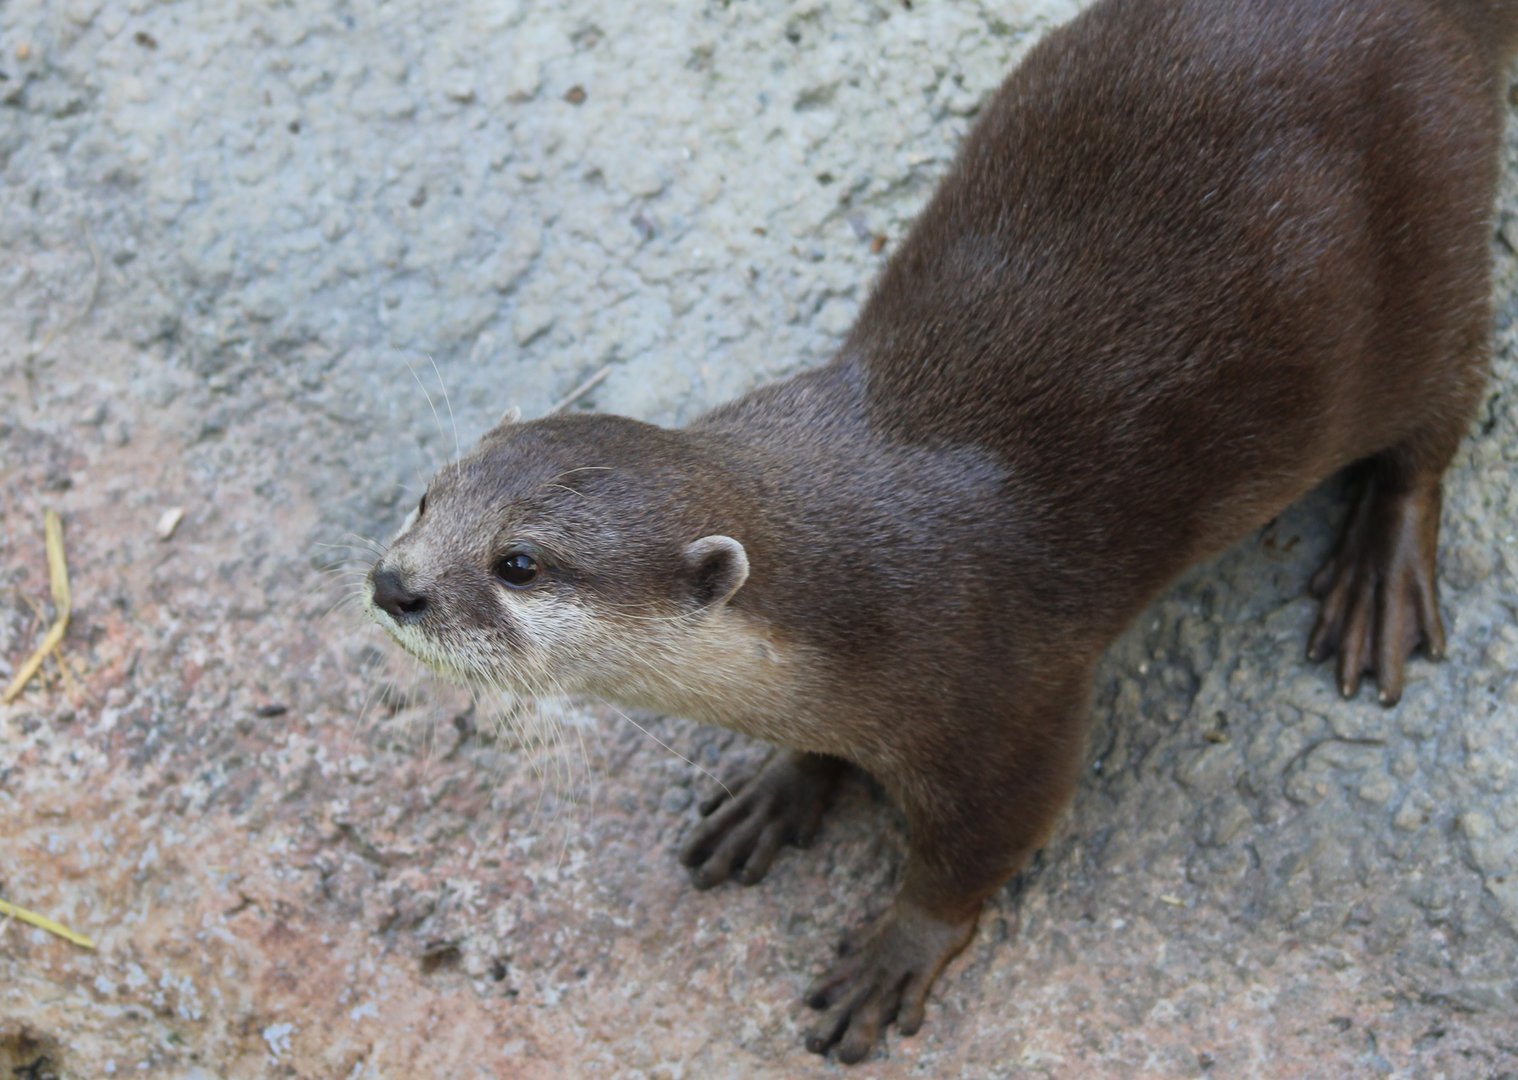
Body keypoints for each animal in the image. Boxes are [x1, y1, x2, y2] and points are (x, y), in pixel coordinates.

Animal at [366, 0, 1516, 1063]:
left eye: (518, 563)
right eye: (425, 500)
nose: (394, 584)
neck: (852, 598)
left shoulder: (1001, 692)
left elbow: (980, 848)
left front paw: (894, 954)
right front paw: (780, 789)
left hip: (1421, 268)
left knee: (1440, 410)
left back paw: (1381, 577)